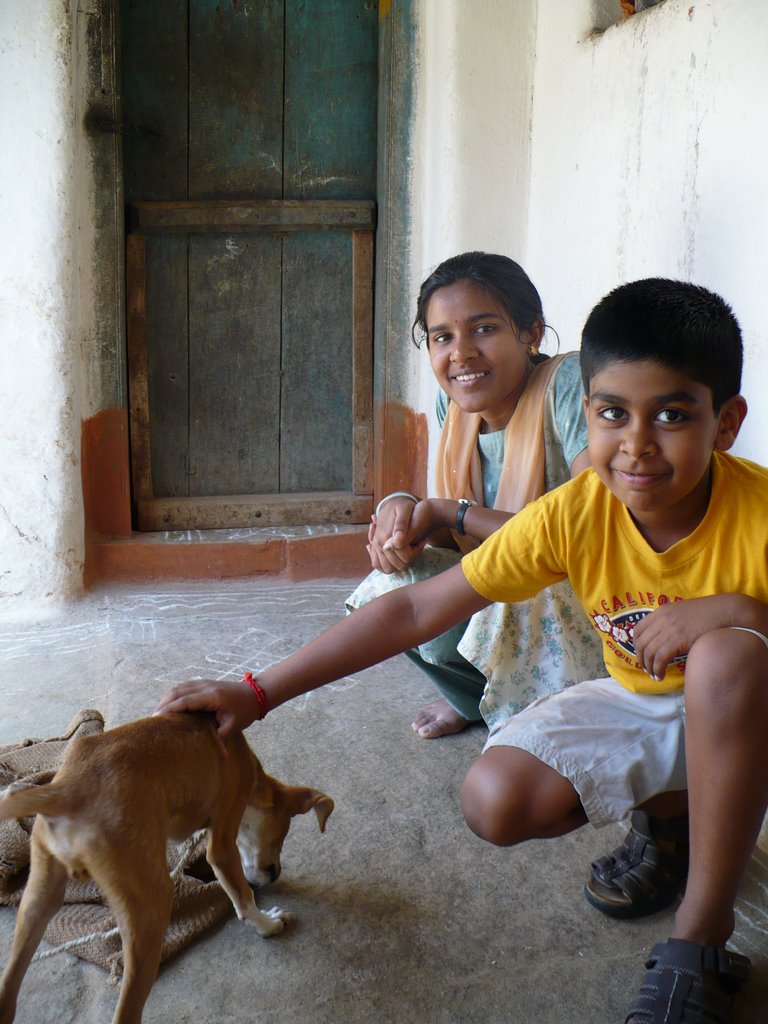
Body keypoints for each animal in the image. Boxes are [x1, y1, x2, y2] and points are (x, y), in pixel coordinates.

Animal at [0, 712, 333, 1024]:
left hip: (36, 901)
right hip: (152, 908)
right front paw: (268, 924)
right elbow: (242, 895)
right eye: (283, 834)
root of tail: (66, 791)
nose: (275, 874)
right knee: (127, 1010)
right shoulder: (223, 839)